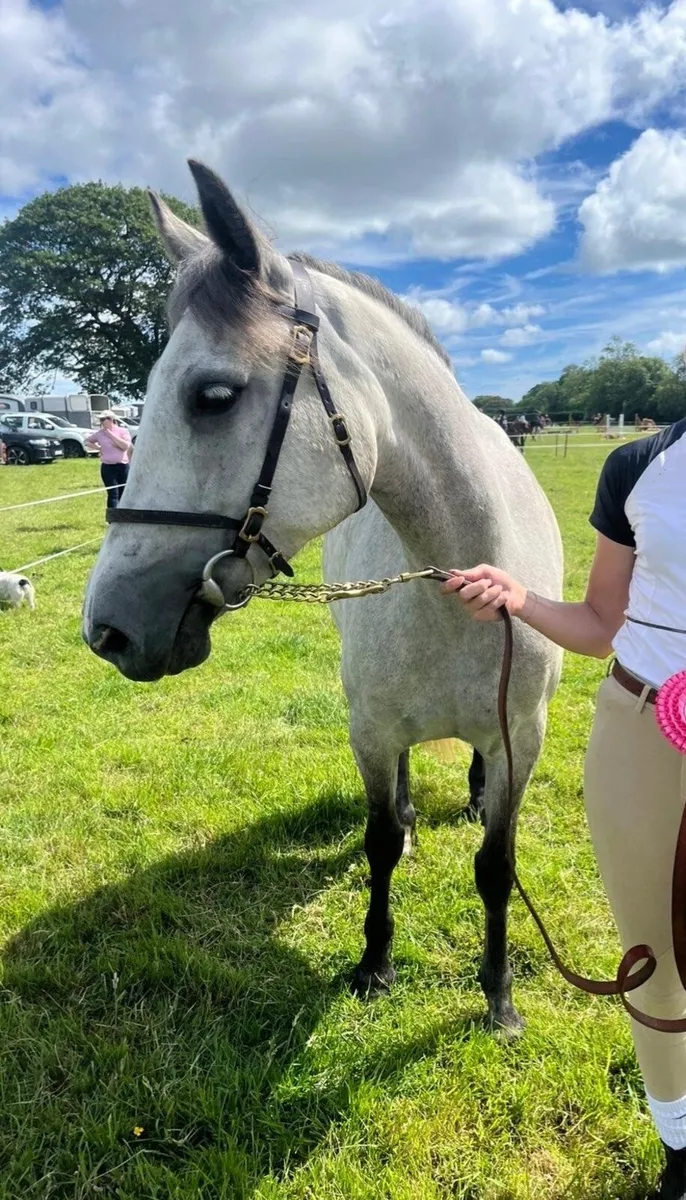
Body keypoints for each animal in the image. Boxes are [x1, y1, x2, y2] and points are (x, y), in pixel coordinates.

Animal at [83, 161, 563, 1033]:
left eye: (213, 396)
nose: (108, 629)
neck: (458, 585)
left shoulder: (524, 742)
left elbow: (496, 864)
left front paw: (499, 995)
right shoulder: (369, 732)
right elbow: (378, 843)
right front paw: (374, 965)